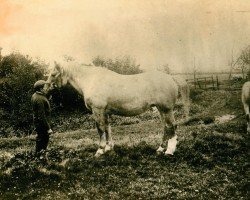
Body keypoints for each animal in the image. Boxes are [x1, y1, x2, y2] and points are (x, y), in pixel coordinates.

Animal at [45, 61, 182, 157]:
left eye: (53, 74)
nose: (45, 89)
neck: (92, 80)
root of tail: (171, 78)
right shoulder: (105, 112)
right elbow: (107, 128)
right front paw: (108, 147)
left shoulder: (97, 110)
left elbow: (100, 129)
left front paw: (100, 150)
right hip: (161, 109)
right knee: (166, 127)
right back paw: (160, 149)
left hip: (166, 109)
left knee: (171, 126)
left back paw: (169, 151)